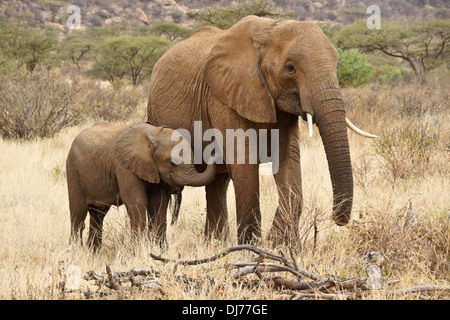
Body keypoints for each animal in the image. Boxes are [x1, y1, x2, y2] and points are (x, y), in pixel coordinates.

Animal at [65, 121, 216, 249]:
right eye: (172, 163)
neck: (153, 134)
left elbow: (158, 203)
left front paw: (161, 250)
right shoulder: (124, 166)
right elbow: (137, 202)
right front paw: (139, 250)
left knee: (98, 214)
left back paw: (94, 252)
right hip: (73, 170)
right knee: (78, 212)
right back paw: (76, 250)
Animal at [148, 16, 376, 244]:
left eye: (337, 66)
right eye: (290, 67)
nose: (338, 219)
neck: (269, 29)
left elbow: (287, 159)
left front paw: (281, 245)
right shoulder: (223, 96)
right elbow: (243, 161)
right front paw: (251, 246)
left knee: (217, 183)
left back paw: (215, 243)